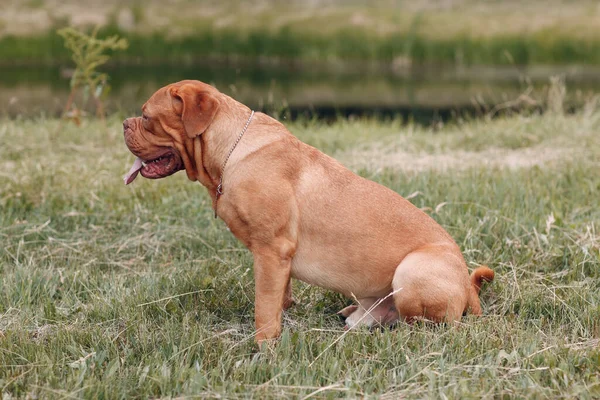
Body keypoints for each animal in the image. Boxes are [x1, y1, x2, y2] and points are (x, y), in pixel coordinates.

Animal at [122, 79, 492, 342]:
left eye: (147, 117)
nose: (124, 123)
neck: (232, 151)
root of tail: (468, 287)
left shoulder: (271, 250)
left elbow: (263, 307)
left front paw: (263, 347)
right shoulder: (277, 258)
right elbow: (279, 295)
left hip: (411, 271)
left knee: (426, 324)